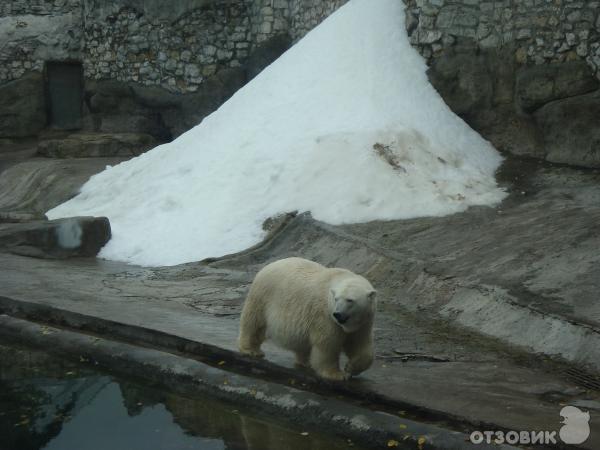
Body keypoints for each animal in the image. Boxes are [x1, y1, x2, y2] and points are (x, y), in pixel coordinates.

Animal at [238, 256, 376, 380]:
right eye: (336, 299)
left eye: (350, 300)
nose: (337, 314)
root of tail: (268, 265)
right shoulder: (326, 316)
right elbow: (328, 344)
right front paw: (336, 374)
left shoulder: (364, 322)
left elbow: (360, 345)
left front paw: (351, 367)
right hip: (263, 296)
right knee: (254, 323)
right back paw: (251, 350)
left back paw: (305, 362)